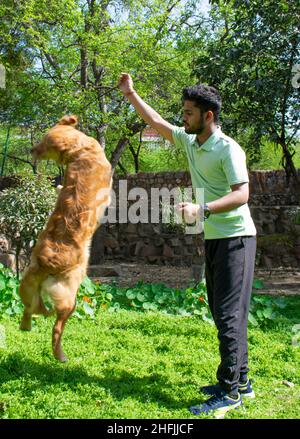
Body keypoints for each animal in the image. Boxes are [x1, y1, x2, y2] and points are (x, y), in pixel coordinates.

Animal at [19, 115, 112, 362]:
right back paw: (60, 355)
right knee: (56, 327)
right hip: (70, 296)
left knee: (30, 308)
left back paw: (26, 325)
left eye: (42, 143)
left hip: (27, 284)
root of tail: (45, 262)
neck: (79, 151)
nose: (31, 149)